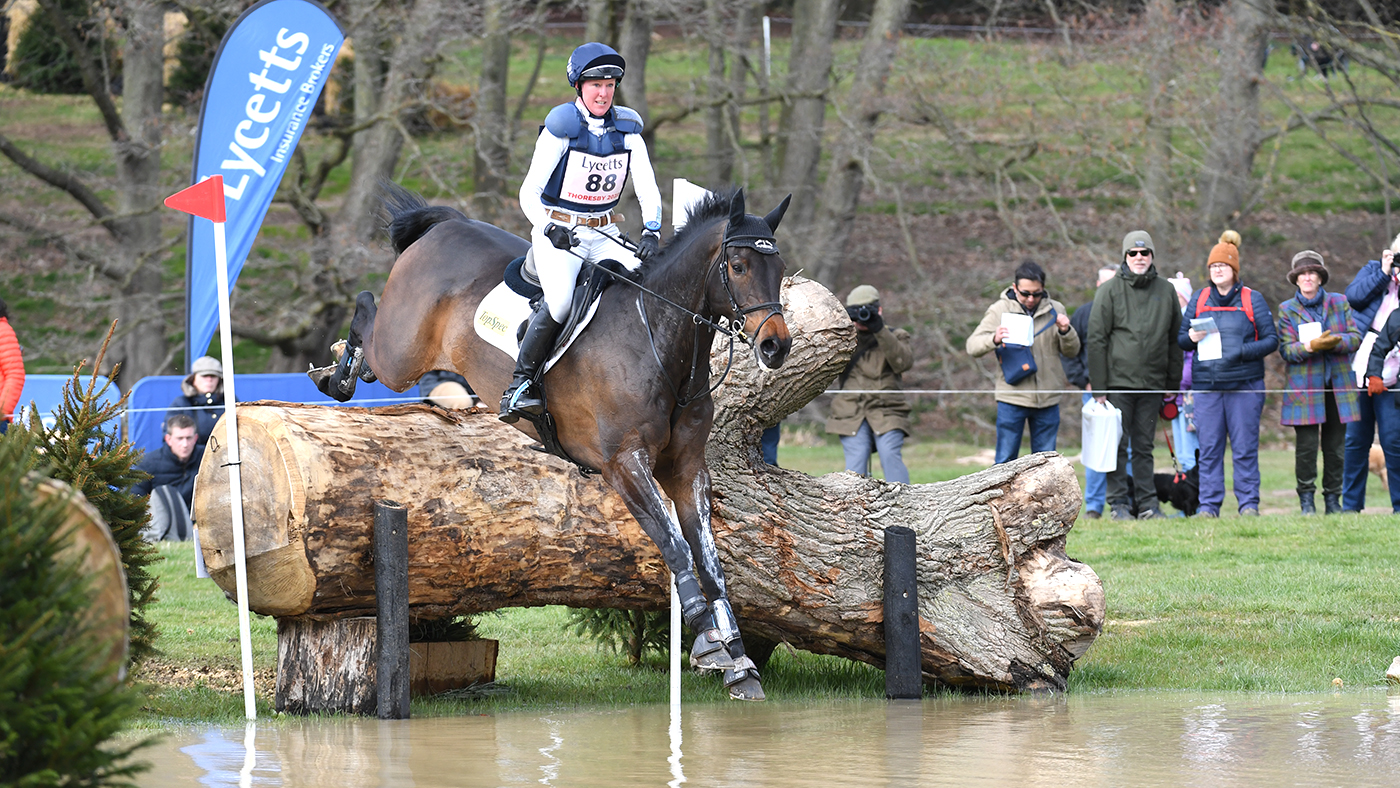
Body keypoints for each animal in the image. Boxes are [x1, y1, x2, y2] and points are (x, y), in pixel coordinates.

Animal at [312, 185, 793, 700]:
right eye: (738, 266)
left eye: (780, 267)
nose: (775, 347)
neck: (660, 339)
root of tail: (450, 225)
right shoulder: (624, 465)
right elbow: (676, 548)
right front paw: (710, 643)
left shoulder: (687, 471)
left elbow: (710, 561)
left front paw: (739, 660)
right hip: (401, 355)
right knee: (366, 311)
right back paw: (336, 373)